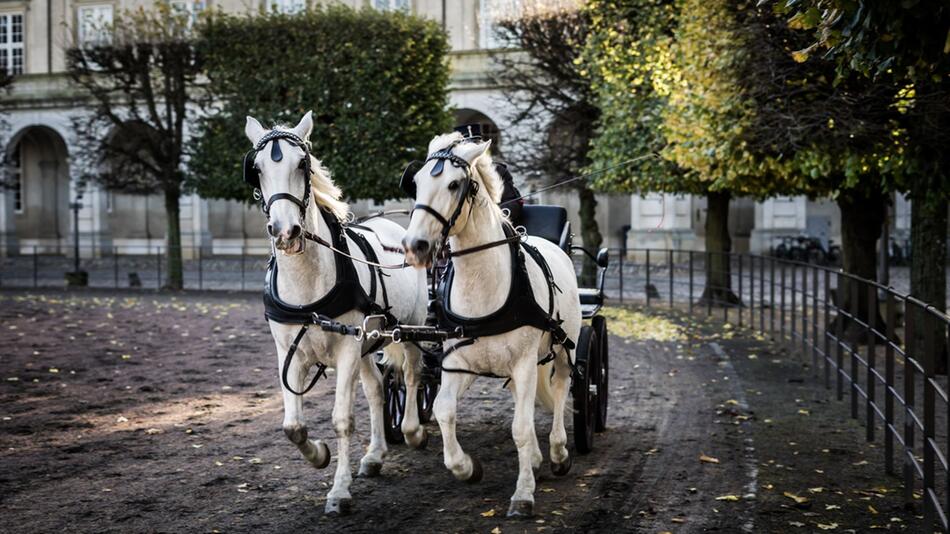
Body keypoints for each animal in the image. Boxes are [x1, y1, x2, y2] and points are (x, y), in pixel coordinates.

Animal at [400, 133, 580, 520]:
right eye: (416, 182)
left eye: (454, 184)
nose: (414, 246)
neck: (482, 283)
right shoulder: (457, 362)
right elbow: (444, 410)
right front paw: (466, 467)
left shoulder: (525, 362)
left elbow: (521, 428)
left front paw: (523, 494)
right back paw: (538, 458)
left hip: (563, 346)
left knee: (561, 389)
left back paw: (558, 452)